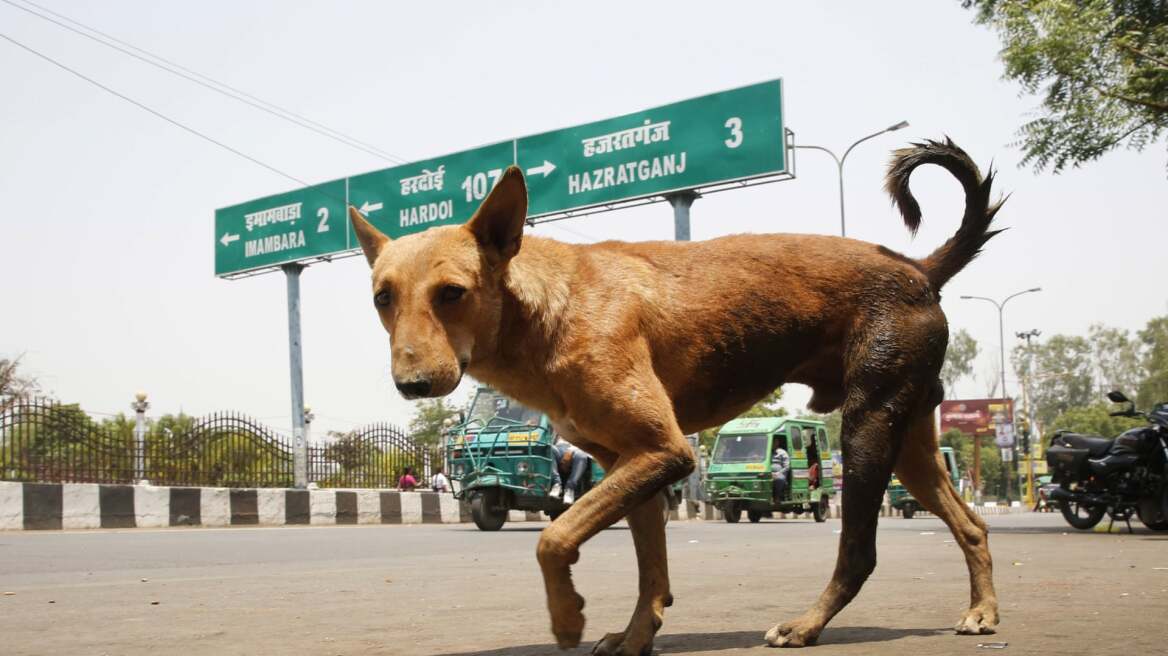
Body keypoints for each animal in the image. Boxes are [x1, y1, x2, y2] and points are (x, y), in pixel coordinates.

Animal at [345, 138, 1004, 648]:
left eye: (452, 293)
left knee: (859, 552)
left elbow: (554, 538)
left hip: (868, 429)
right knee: (971, 524)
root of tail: (919, 268)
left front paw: (568, 619)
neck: (546, 311)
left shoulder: (664, 452)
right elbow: (649, 572)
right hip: (908, 439)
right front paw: (636, 636)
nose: (412, 385)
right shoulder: (629, 463)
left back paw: (806, 626)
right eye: (382, 297)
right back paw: (982, 611)